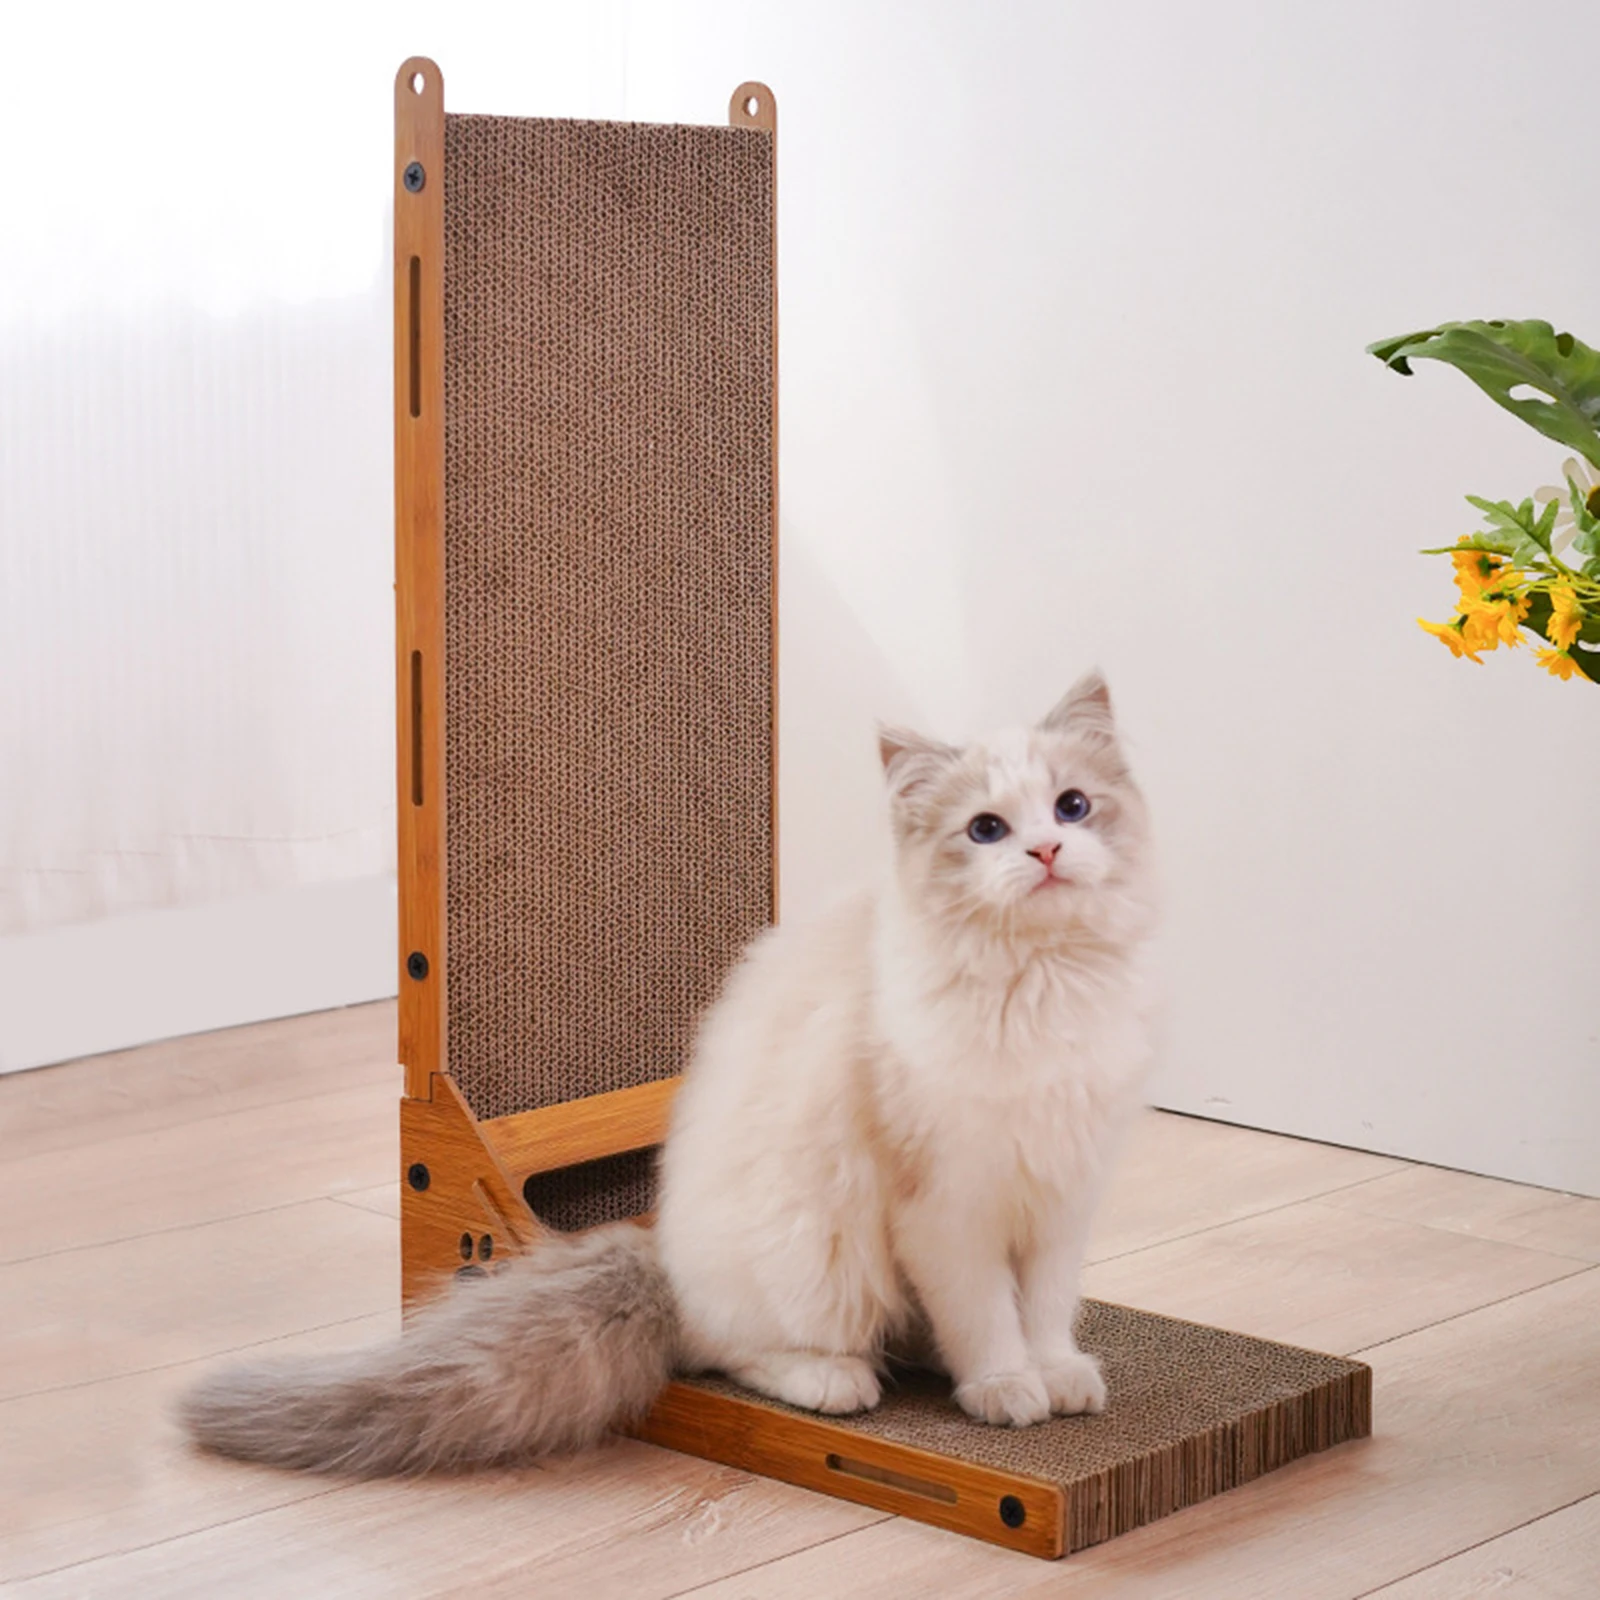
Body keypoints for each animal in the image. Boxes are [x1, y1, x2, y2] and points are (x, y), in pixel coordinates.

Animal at [181, 668, 1158, 1465]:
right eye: (986, 829)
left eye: (1072, 808)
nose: (1044, 852)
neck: (1043, 985)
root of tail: (665, 1255)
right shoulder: (949, 1206)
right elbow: (987, 1316)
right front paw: (1005, 1388)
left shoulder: (1064, 1192)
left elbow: (1043, 1307)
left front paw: (1057, 1374)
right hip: (814, 1255)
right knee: (732, 1352)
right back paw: (837, 1380)